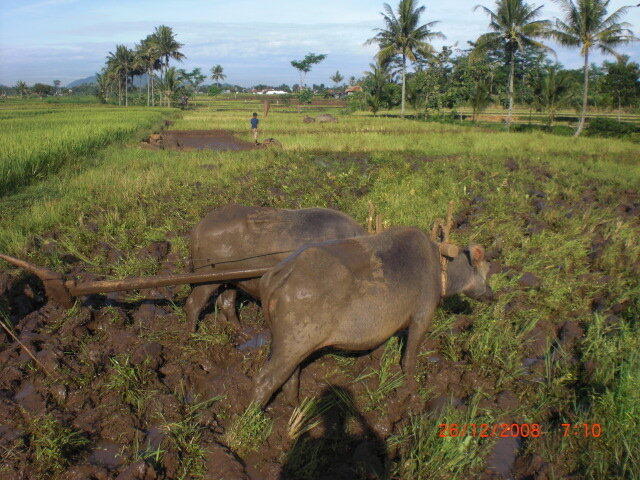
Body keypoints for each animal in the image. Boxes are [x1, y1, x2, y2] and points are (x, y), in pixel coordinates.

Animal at [185, 202, 364, 330]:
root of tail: (198, 229)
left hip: (230, 278)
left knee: (226, 302)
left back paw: (241, 332)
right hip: (207, 276)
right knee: (193, 303)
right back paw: (192, 335)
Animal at [252, 227, 492, 406]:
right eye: (486, 271)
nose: (492, 294)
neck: (440, 270)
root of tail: (278, 274)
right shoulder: (422, 315)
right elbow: (410, 356)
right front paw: (411, 387)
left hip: (289, 343)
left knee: (290, 376)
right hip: (297, 340)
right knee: (265, 380)